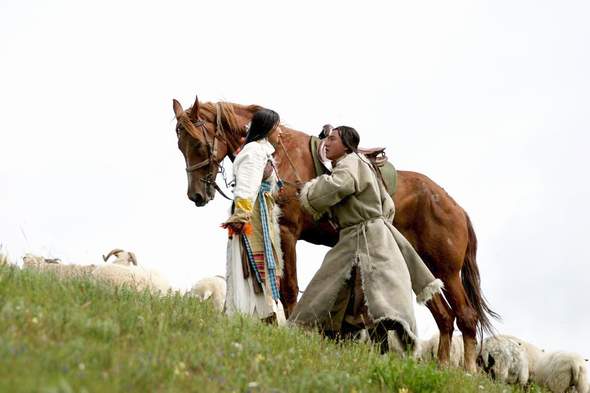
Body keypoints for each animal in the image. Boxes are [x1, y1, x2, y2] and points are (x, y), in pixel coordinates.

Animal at [171, 95, 500, 370]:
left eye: (197, 143)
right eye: (180, 146)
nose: (196, 194)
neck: (279, 153)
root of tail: (456, 208)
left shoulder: (287, 233)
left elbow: (289, 288)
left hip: (448, 271)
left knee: (466, 316)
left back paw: (467, 371)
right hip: (422, 266)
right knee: (445, 316)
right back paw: (442, 365)